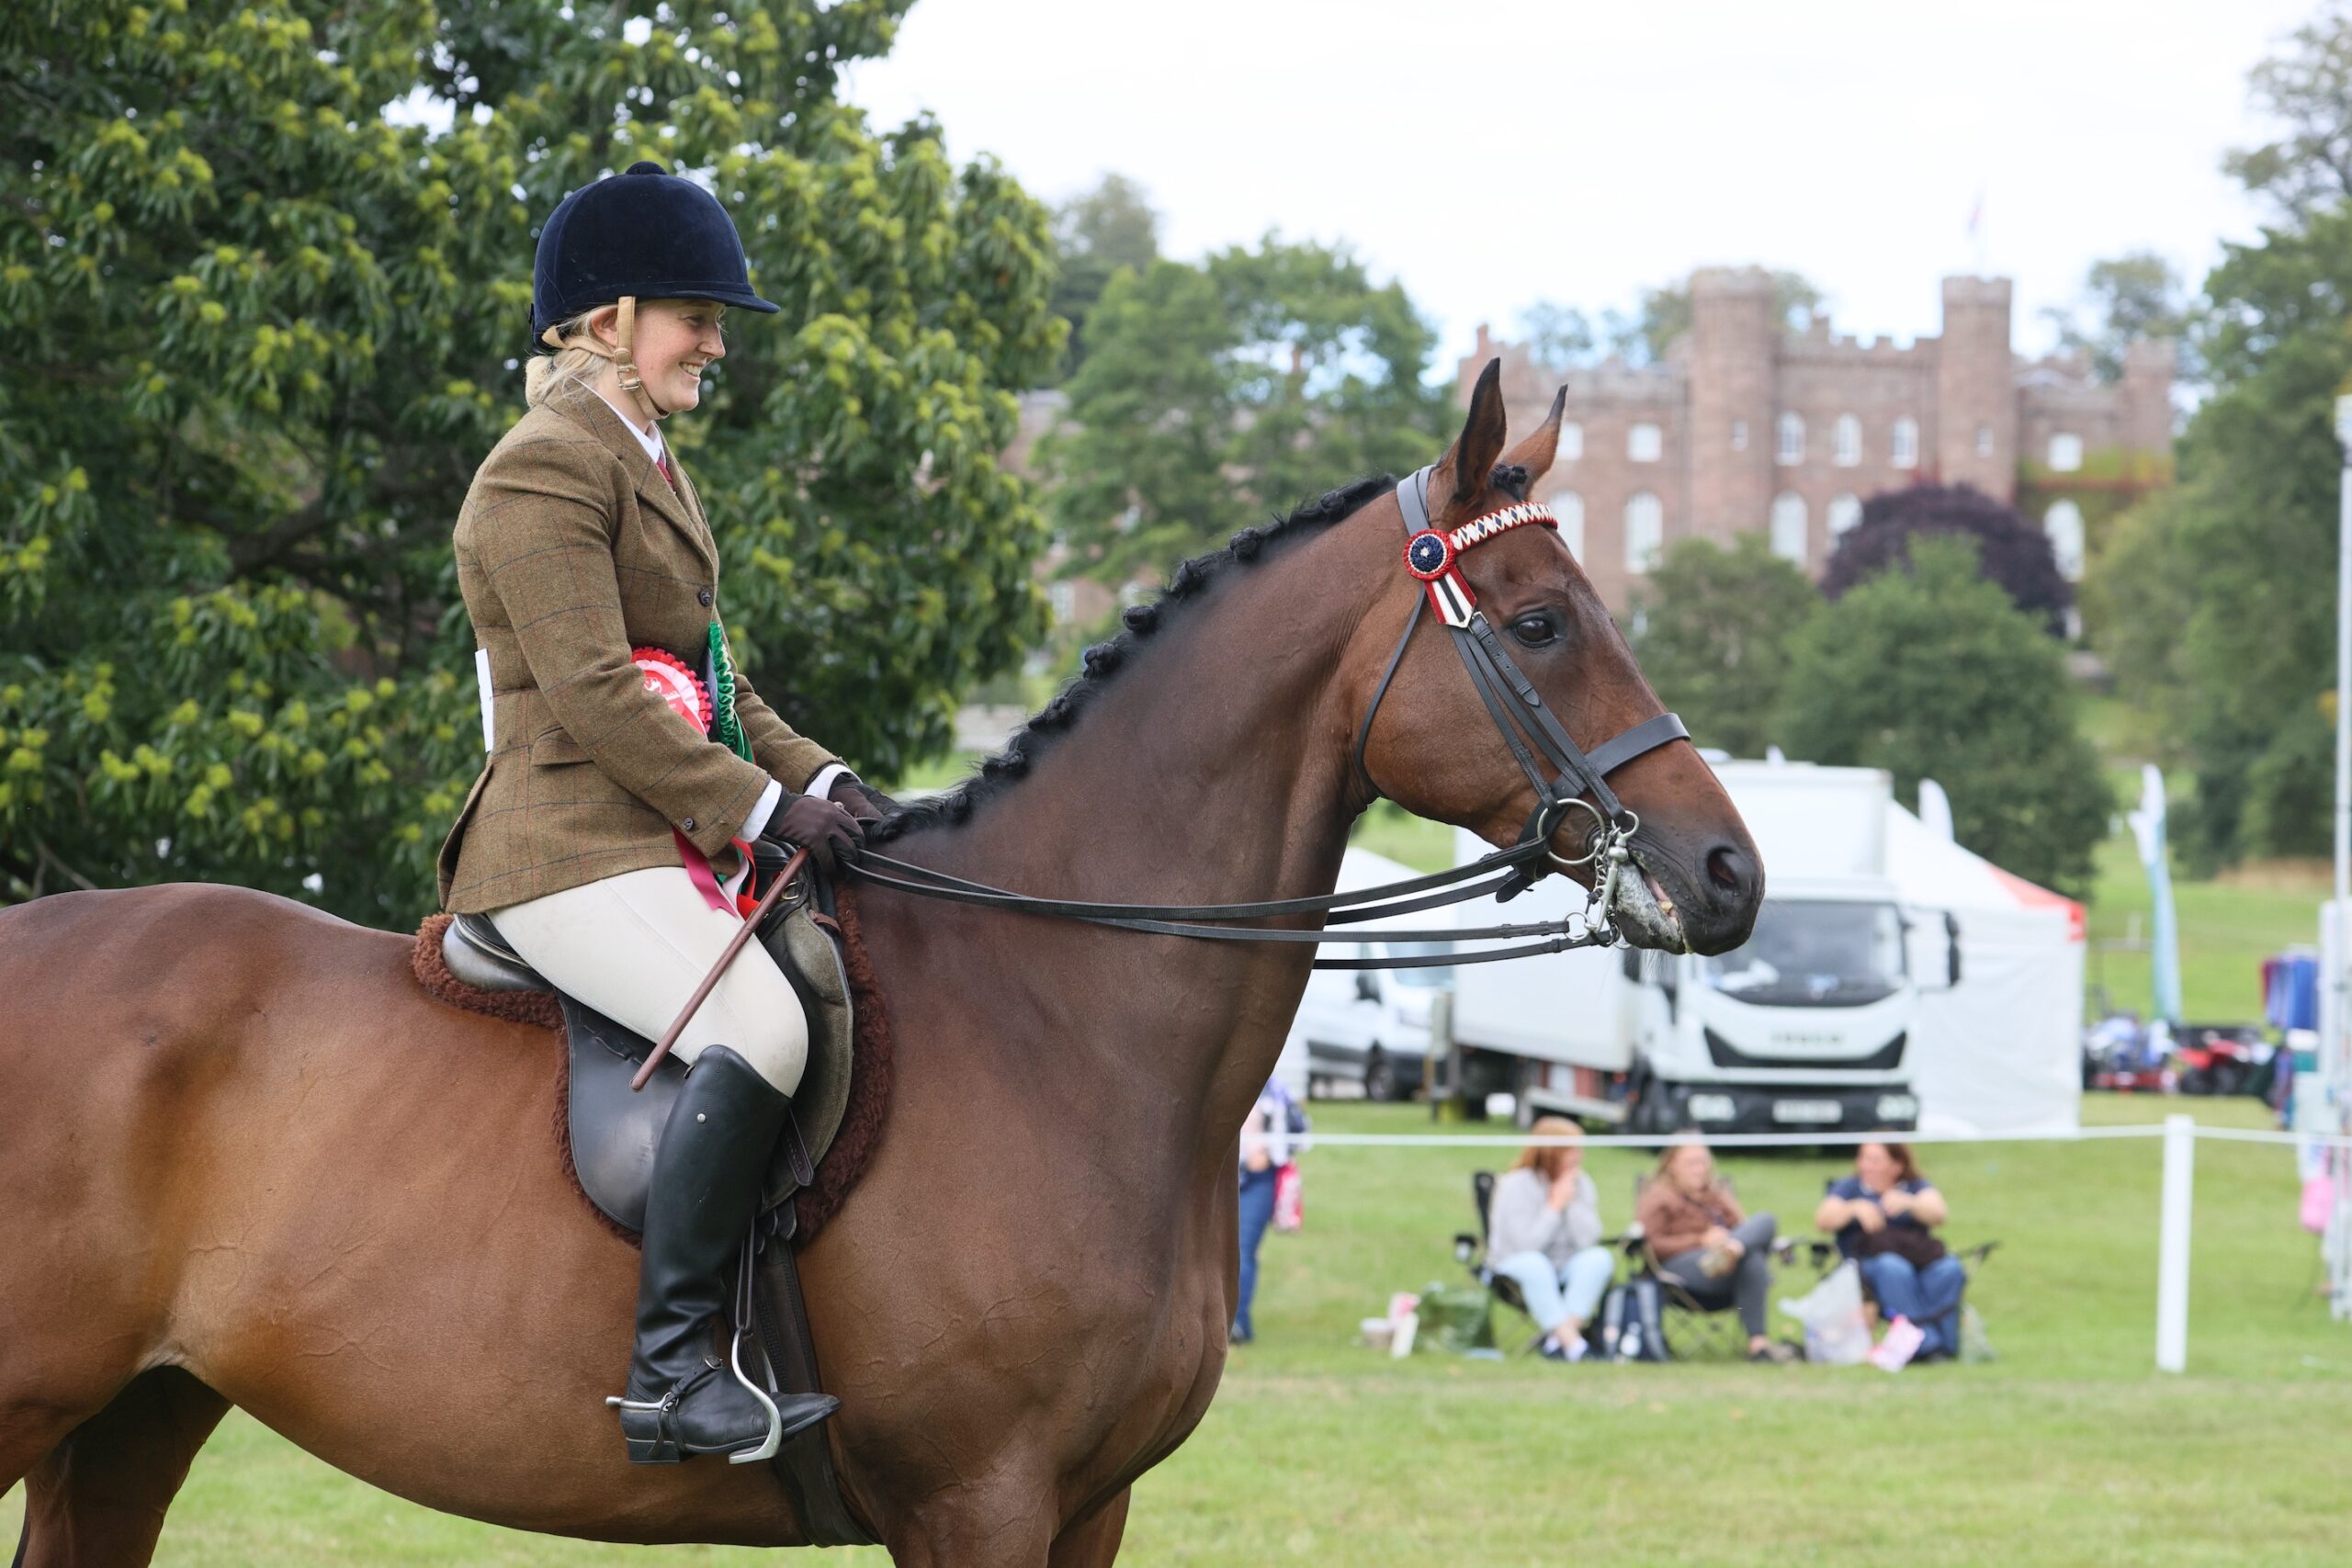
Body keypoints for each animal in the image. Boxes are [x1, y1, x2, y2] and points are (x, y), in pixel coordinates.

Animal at [0, 364, 1761, 1565]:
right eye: (1539, 623)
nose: (1727, 874)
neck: (1059, 1018)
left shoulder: (1089, 1504)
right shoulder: (980, 1497)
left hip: (134, 1416)